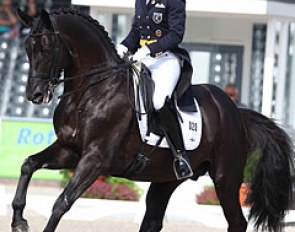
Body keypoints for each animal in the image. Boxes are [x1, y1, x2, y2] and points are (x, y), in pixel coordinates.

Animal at [12, 8, 294, 231]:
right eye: (26, 48)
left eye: (46, 47)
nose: (35, 95)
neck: (92, 91)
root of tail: (235, 110)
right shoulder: (69, 150)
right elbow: (28, 164)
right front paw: (19, 221)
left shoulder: (95, 158)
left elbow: (61, 203)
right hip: (167, 179)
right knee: (153, 221)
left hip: (226, 178)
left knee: (237, 222)